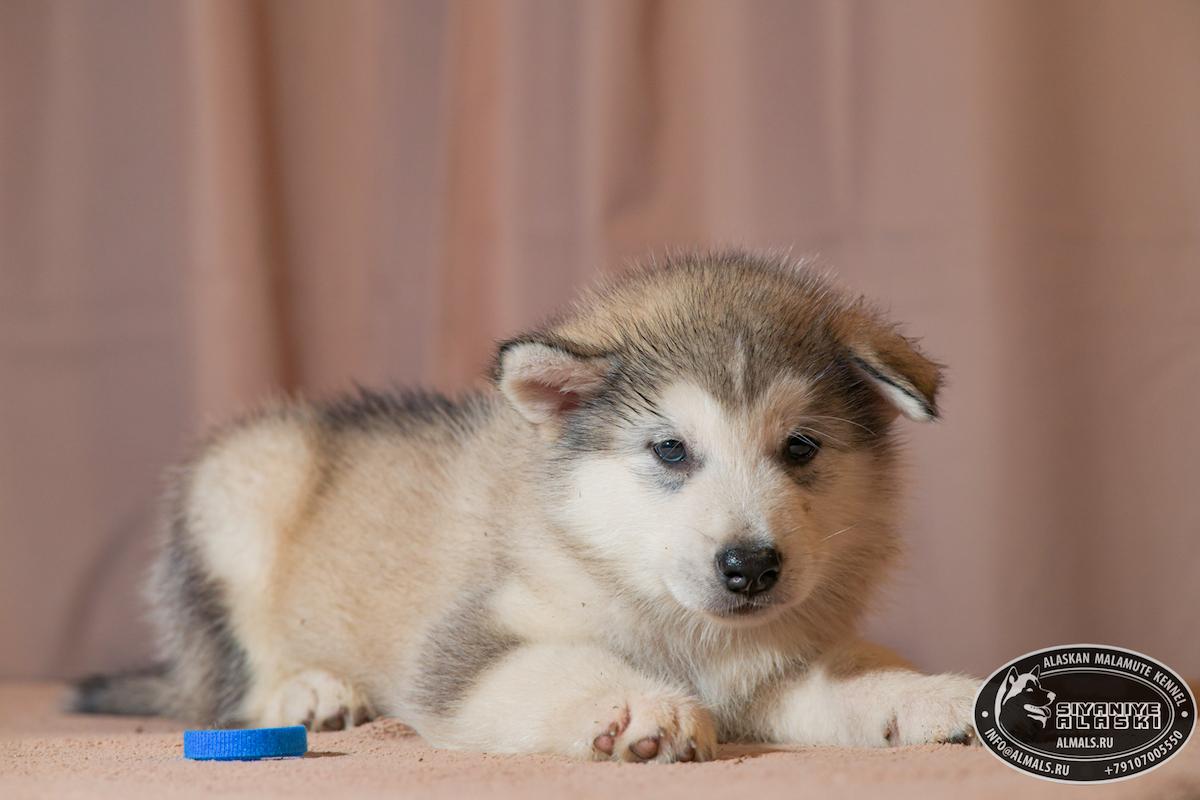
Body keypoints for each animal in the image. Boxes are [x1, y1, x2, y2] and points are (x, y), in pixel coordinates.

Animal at [72, 251, 974, 762]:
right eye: (670, 450)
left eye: (801, 448)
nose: (750, 565)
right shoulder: (466, 644)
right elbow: (556, 661)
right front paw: (634, 702)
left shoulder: (775, 669)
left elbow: (854, 680)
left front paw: (932, 697)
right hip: (241, 493)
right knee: (230, 688)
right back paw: (314, 694)